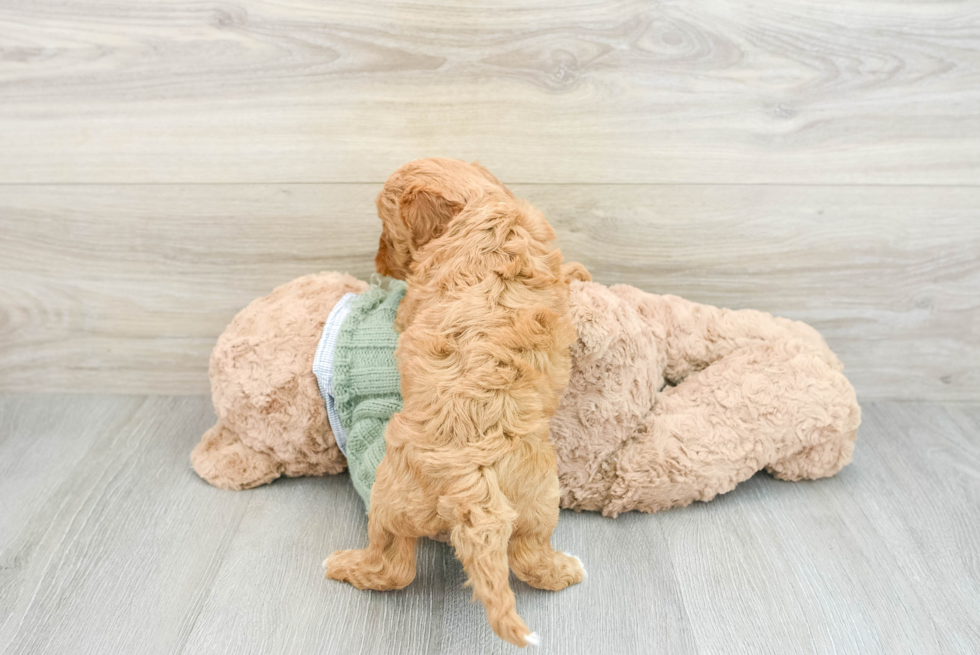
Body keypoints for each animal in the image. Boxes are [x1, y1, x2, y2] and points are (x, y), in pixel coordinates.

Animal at [326, 160, 584, 644]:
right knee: (529, 554)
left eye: (389, 232)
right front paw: (580, 273)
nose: (378, 264)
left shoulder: (416, 298)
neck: (484, 206)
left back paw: (345, 565)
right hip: (541, 498)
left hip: (388, 500)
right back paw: (565, 570)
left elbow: (404, 312)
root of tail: (474, 482)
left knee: (393, 565)